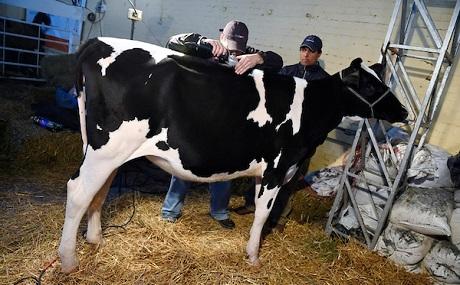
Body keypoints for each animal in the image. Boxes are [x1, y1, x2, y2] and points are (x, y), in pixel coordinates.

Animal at [57, 36, 406, 272]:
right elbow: (263, 214)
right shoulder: (276, 168)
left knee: (100, 190)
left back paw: (95, 240)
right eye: (372, 87)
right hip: (107, 148)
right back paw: (69, 260)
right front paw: (253, 255)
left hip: (106, 150)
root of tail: (98, 42)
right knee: (79, 191)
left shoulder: (269, 171)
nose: (403, 111)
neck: (310, 111)